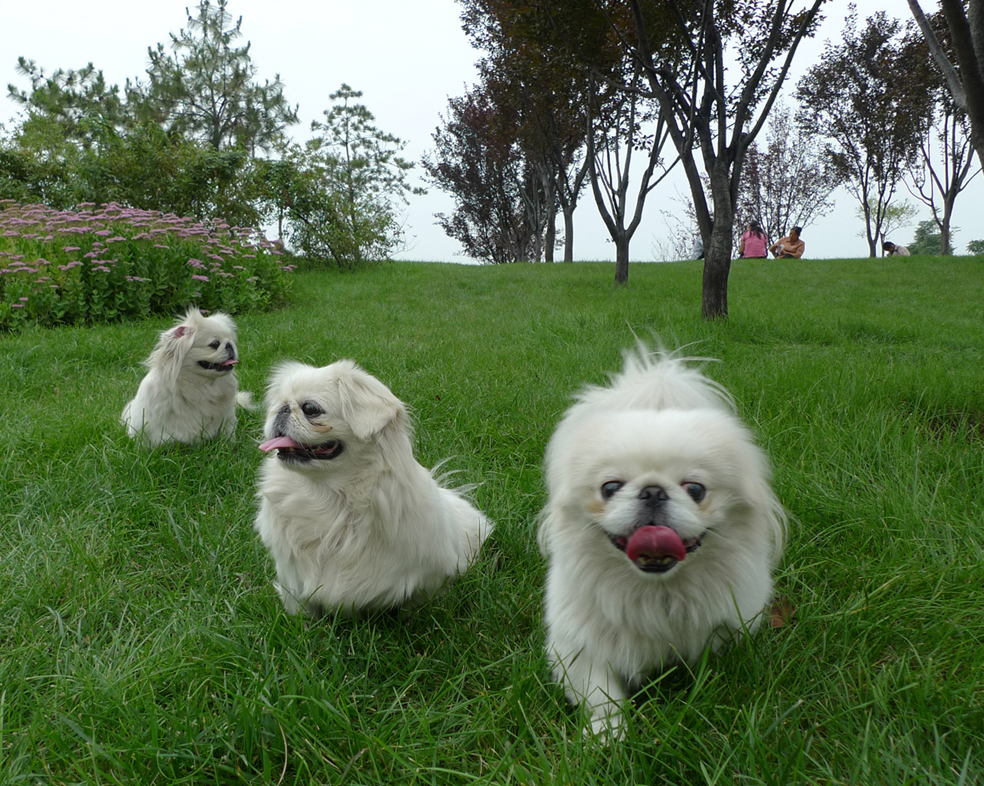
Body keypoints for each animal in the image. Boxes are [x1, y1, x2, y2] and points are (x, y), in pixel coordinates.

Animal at [254, 358, 492, 616]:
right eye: (277, 404)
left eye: (310, 408)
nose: (282, 409)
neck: (330, 499)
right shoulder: (293, 584)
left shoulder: (430, 581)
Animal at [540, 344, 784, 736]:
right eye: (610, 487)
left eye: (695, 489)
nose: (653, 491)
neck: (658, 592)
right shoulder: (575, 648)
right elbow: (601, 694)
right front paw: (607, 736)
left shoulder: (728, 631)